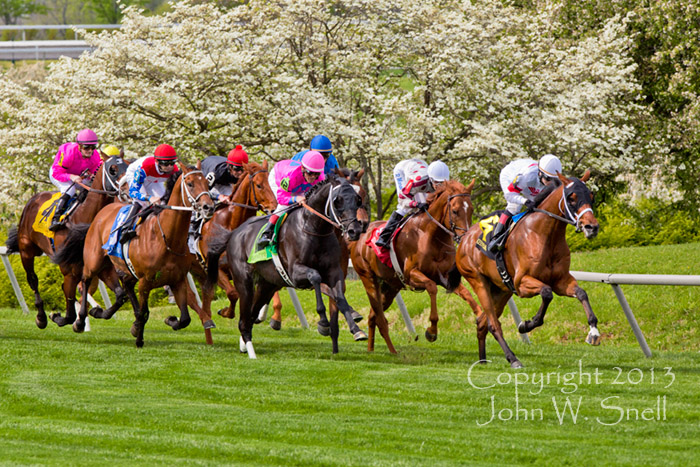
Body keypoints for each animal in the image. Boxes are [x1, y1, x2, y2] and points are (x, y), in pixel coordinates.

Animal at [5, 157, 129, 330]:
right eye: (113, 169)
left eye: (129, 165)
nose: (127, 188)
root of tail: (33, 199)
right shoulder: (70, 268)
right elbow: (70, 307)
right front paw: (62, 317)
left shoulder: (101, 266)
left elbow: (120, 295)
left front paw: (95, 312)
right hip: (27, 251)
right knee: (33, 279)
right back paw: (41, 317)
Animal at [54, 165, 215, 348]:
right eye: (190, 184)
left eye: (207, 184)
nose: (208, 207)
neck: (167, 237)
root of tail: (101, 213)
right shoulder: (145, 281)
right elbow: (144, 312)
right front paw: (139, 339)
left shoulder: (178, 280)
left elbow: (185, 318)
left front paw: (170, 320)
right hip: (94, 261)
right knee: (86, 282)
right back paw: (80, 321)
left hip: (119, 268)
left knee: (123, 291)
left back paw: (101, 312)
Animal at [205, 177, 364, 356]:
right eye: (337, 201)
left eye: (358, 200)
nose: (354, 231)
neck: (313, 228)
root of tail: (234, 233)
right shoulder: (295, 273)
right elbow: (315, 276)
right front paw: (323, 323)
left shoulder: (334, 272)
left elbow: (340, 297)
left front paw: (356, 328)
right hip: (244, 281)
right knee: (244, 318)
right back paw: (251, 351)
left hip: (267, 285)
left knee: (251, 315)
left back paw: (244, 345)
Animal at [348, 180, 478, 354]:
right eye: (455, 211)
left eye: (471, 210)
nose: (465, 238)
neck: (431, 235)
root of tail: (358, 238)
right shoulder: (411, 275)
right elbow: (431, 287)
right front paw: (431, 331)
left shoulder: (445, 277)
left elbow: (468, 295)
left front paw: (482, 318)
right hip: (368, 279)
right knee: (380, 319)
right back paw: (393, 353)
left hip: (390, 287)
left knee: (372, 316)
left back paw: (372, 350)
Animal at [456, 171, 600, 370]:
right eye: (572, 198)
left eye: (591, 196)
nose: (591, 227)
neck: (544, 234)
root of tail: (464, 238)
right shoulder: (522, 283)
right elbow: (546, 293)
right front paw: (526, 324)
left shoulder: (561, 280)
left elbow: (581, 293)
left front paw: (594, 332)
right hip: (479, 282)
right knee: (493, 324)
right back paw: (513, 359)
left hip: (501, 290)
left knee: (482, 322)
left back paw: (483, 359)